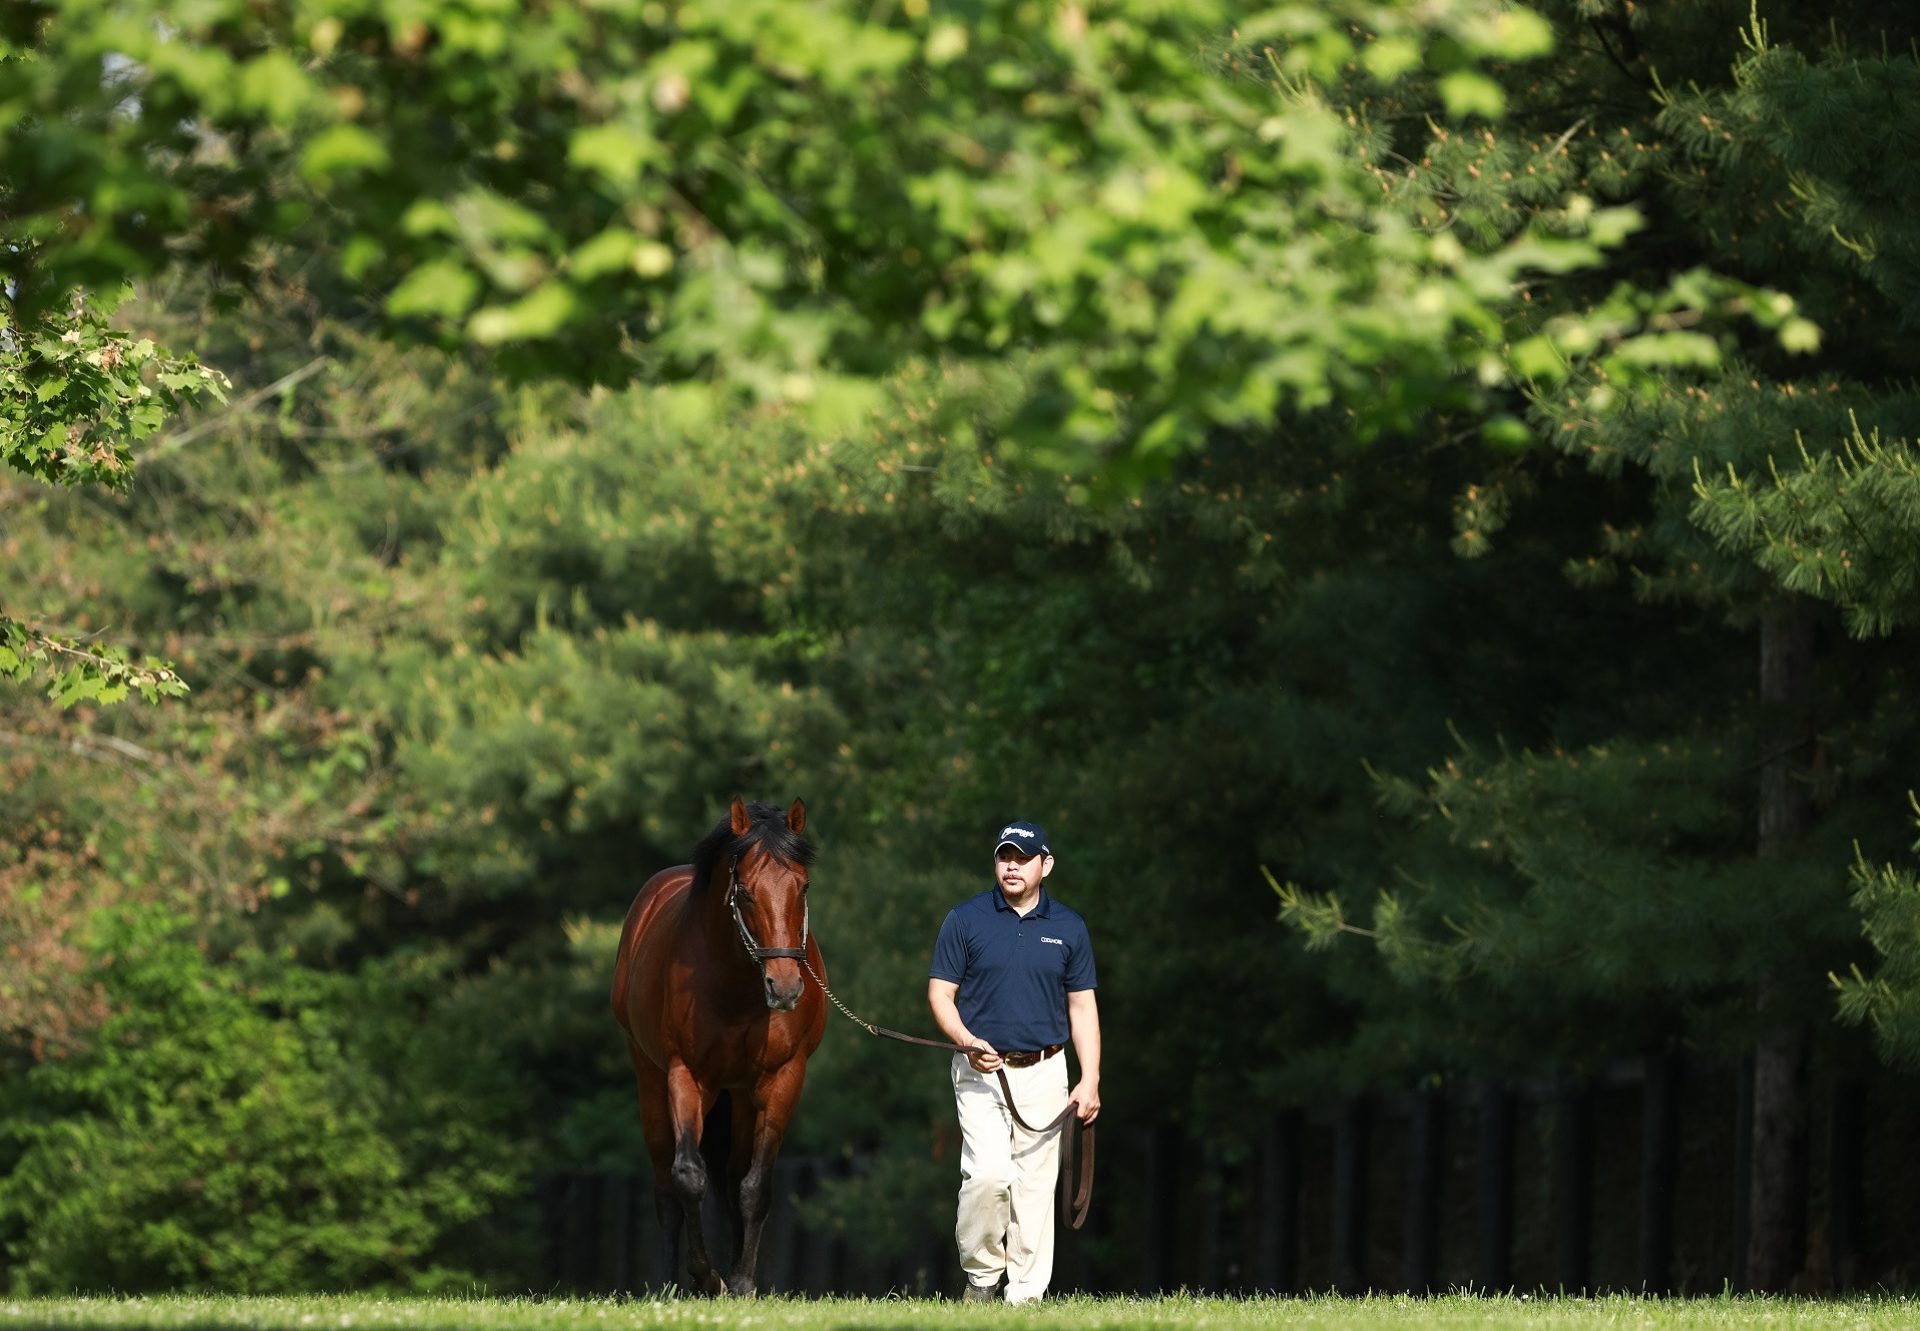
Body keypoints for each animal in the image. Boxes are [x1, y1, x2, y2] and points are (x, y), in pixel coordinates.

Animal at [614, 795, 825, 1290]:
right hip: (652, 1082)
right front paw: (707, 1277)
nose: (785, 986)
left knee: (732, 1179)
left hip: (743, 1097)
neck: (737, 987)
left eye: (803, 886)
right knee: (665, 1187)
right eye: (745, 891)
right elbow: (689, 1177)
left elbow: (754, 1186)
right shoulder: (686, 1076)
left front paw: (743, 1281)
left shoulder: (782, 1079)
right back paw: (670, 1282)